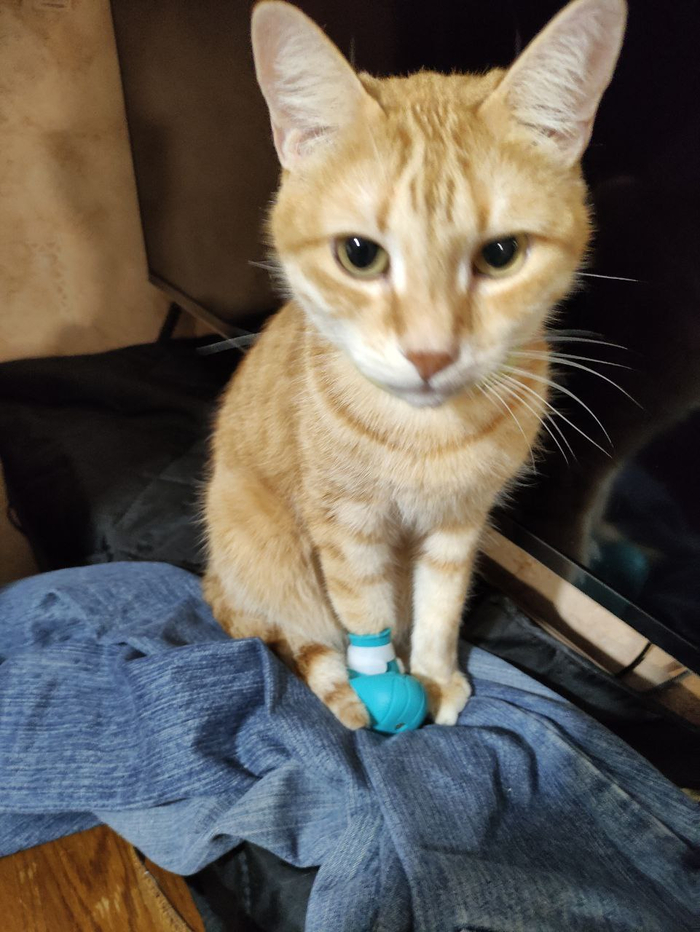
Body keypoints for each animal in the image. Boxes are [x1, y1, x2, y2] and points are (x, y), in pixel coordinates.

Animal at [203, 0, 627, 729]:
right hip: (265, 554)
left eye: (502, 254)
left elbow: (441, 606)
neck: (426, 436)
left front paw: (432, 676)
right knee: (287, 629)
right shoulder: (347, 528)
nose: (430, 353)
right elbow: (364, 611)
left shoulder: (459, 525)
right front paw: (382, 688)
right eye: (359, 253)